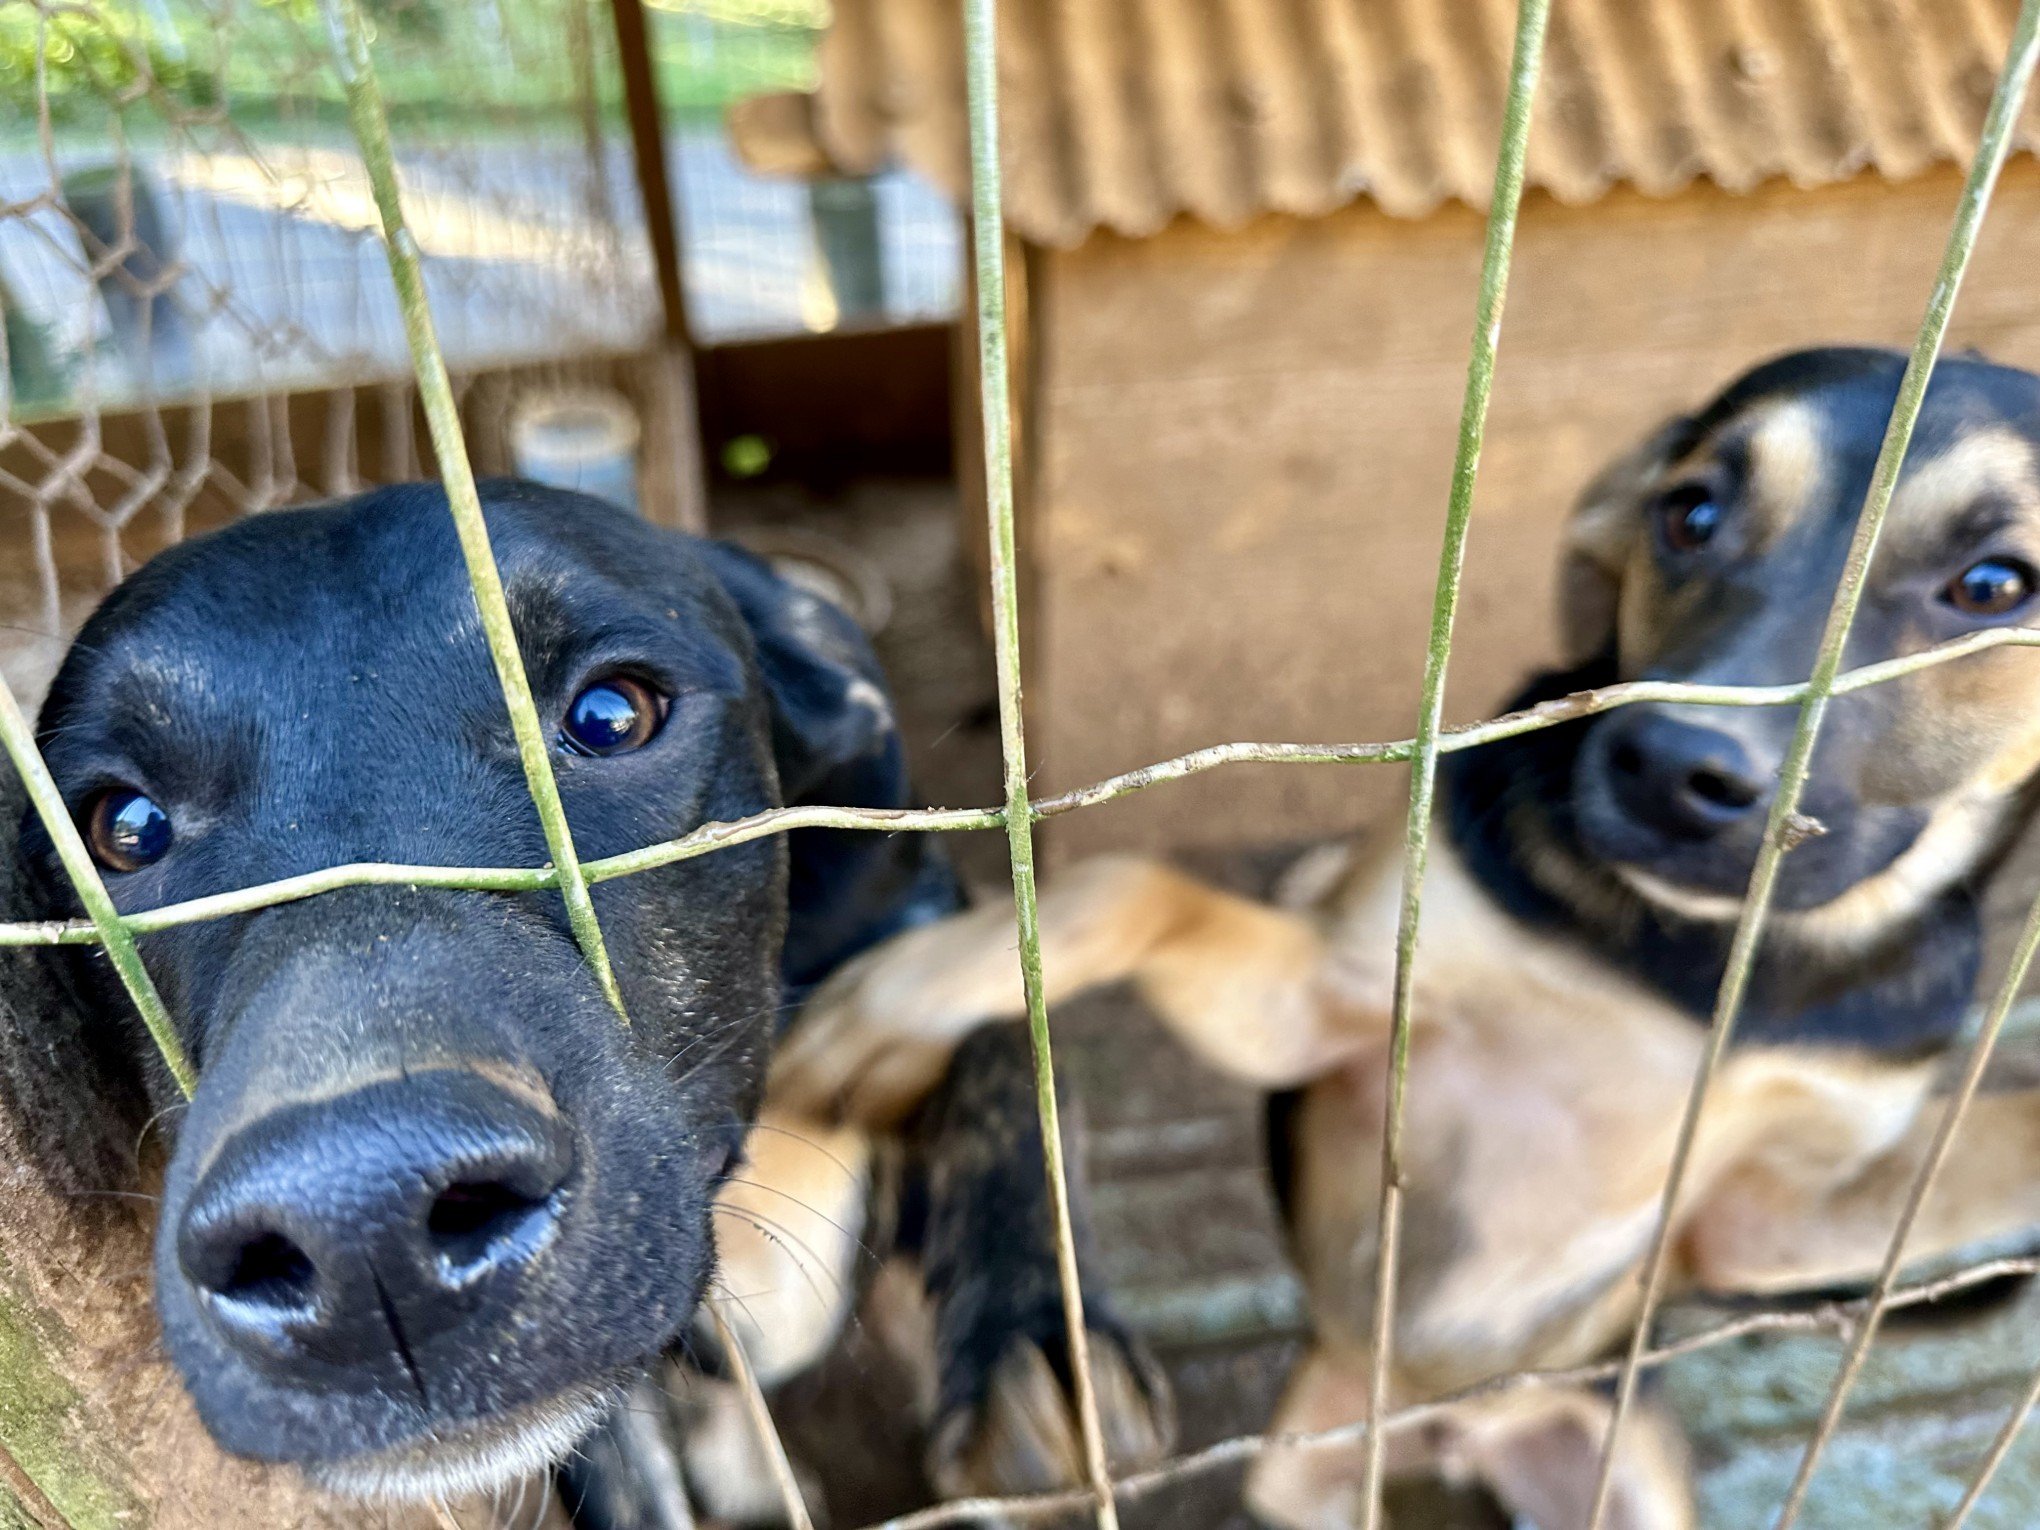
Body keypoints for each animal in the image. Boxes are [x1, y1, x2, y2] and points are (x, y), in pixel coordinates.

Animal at [7, 485, 1166, 1517]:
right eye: (124, 827)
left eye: (613, 716)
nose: (361, 1235)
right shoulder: (606, 1447)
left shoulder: (913, 906)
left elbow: (1002, 1032)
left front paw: (1035, 1326)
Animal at [771, 350, 2040, 1530]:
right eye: (1691, 515)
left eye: (1993, 585)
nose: (1671, 768)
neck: (1681, 962)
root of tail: (1457, 1429)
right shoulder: (1335, 1020)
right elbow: (1133, 885)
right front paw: (896, 1002)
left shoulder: (1769, 1221)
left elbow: (1985, 1137)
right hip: (1303, 1468)